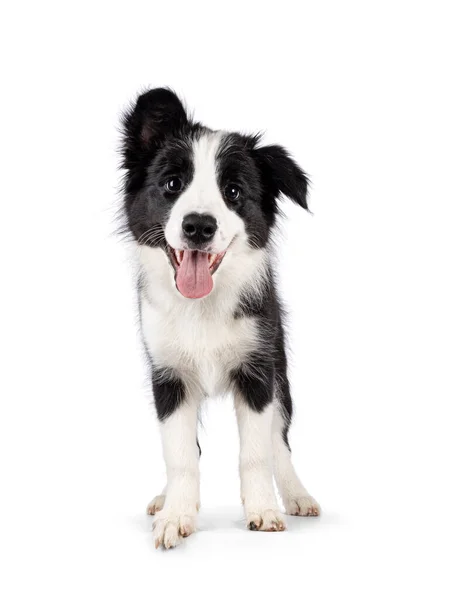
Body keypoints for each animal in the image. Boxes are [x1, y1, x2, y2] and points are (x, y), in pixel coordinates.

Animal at [120, 86, 320, 552]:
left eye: (233, 191)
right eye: (172, 184)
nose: (198, 226)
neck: (201, 306)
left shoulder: (258, 371)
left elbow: (257, 452)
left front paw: (263, 509)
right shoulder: (168, 376)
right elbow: (179, 454)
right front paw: (176, 514)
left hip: (281, 372)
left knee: (280, 440)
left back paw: (296, 495)